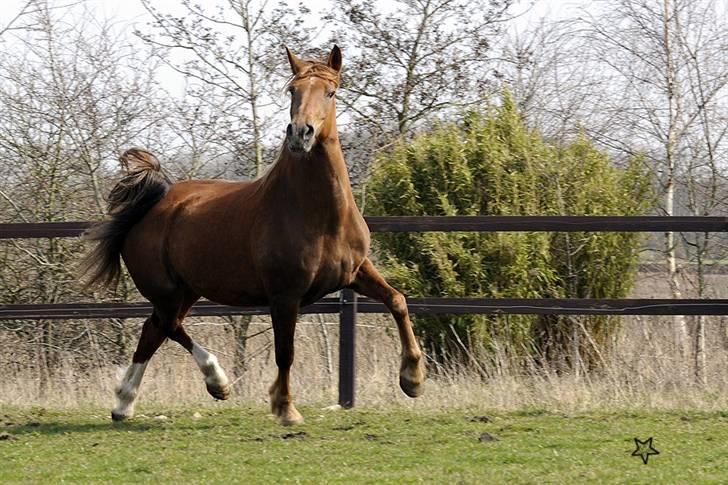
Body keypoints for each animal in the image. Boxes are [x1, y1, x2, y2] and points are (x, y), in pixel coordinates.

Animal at [84, 46, 426, 424]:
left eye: (331, 92)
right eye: (292, 90)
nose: (300, 134)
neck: (319, 216)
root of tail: (150, 207)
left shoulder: (355, 272)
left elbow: (397, 300)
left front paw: (412, 380)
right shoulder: (284, 295)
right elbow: (285, 352)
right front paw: (285, 407)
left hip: (187, 290)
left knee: (153, 330)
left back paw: (124, 403)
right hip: (168, 291)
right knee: (168, 326)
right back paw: (215, 381)